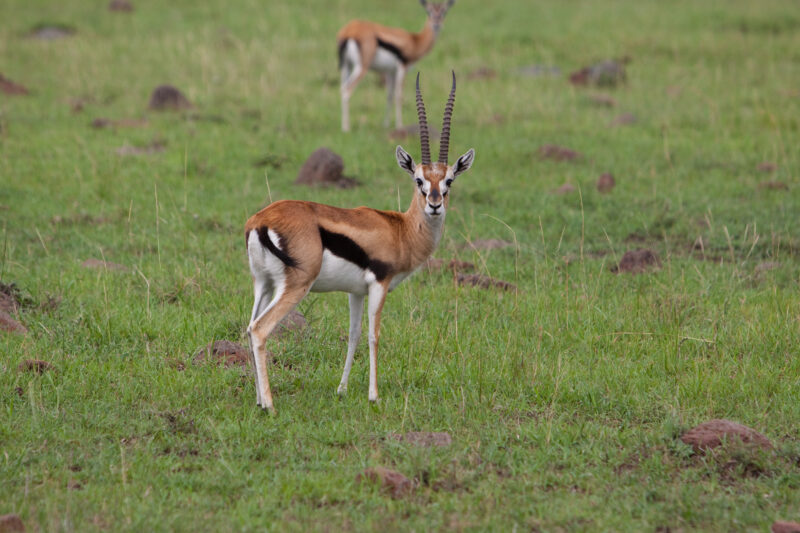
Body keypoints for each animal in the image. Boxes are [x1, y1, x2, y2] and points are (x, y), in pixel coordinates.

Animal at [245, 73, 474, 411]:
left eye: (449, 181)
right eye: (419, 179)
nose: (434, 205)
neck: (401, 230)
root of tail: (261, 220)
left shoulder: (355, 292)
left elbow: (353, 334)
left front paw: (341, 389)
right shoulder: (380, 283)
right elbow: (373, 335)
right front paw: (373, 395)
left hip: (263, 284)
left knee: (249, 327)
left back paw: (260, 400)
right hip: (295, 286)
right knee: (261, 329)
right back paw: (271, 406)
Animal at [337, 0, 455, 132]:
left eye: (444, 12)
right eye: (428, 12)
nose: (436, 24)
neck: (414, 41)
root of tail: (348, 31)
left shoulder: (390, 71)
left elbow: (389, 95)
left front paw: (385, 124)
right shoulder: (402, 68)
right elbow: (398, 95)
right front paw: (400, 125)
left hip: (346, 67)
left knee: (342, 88)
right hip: (361, 68)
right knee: (347, 90)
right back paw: (346, 128)